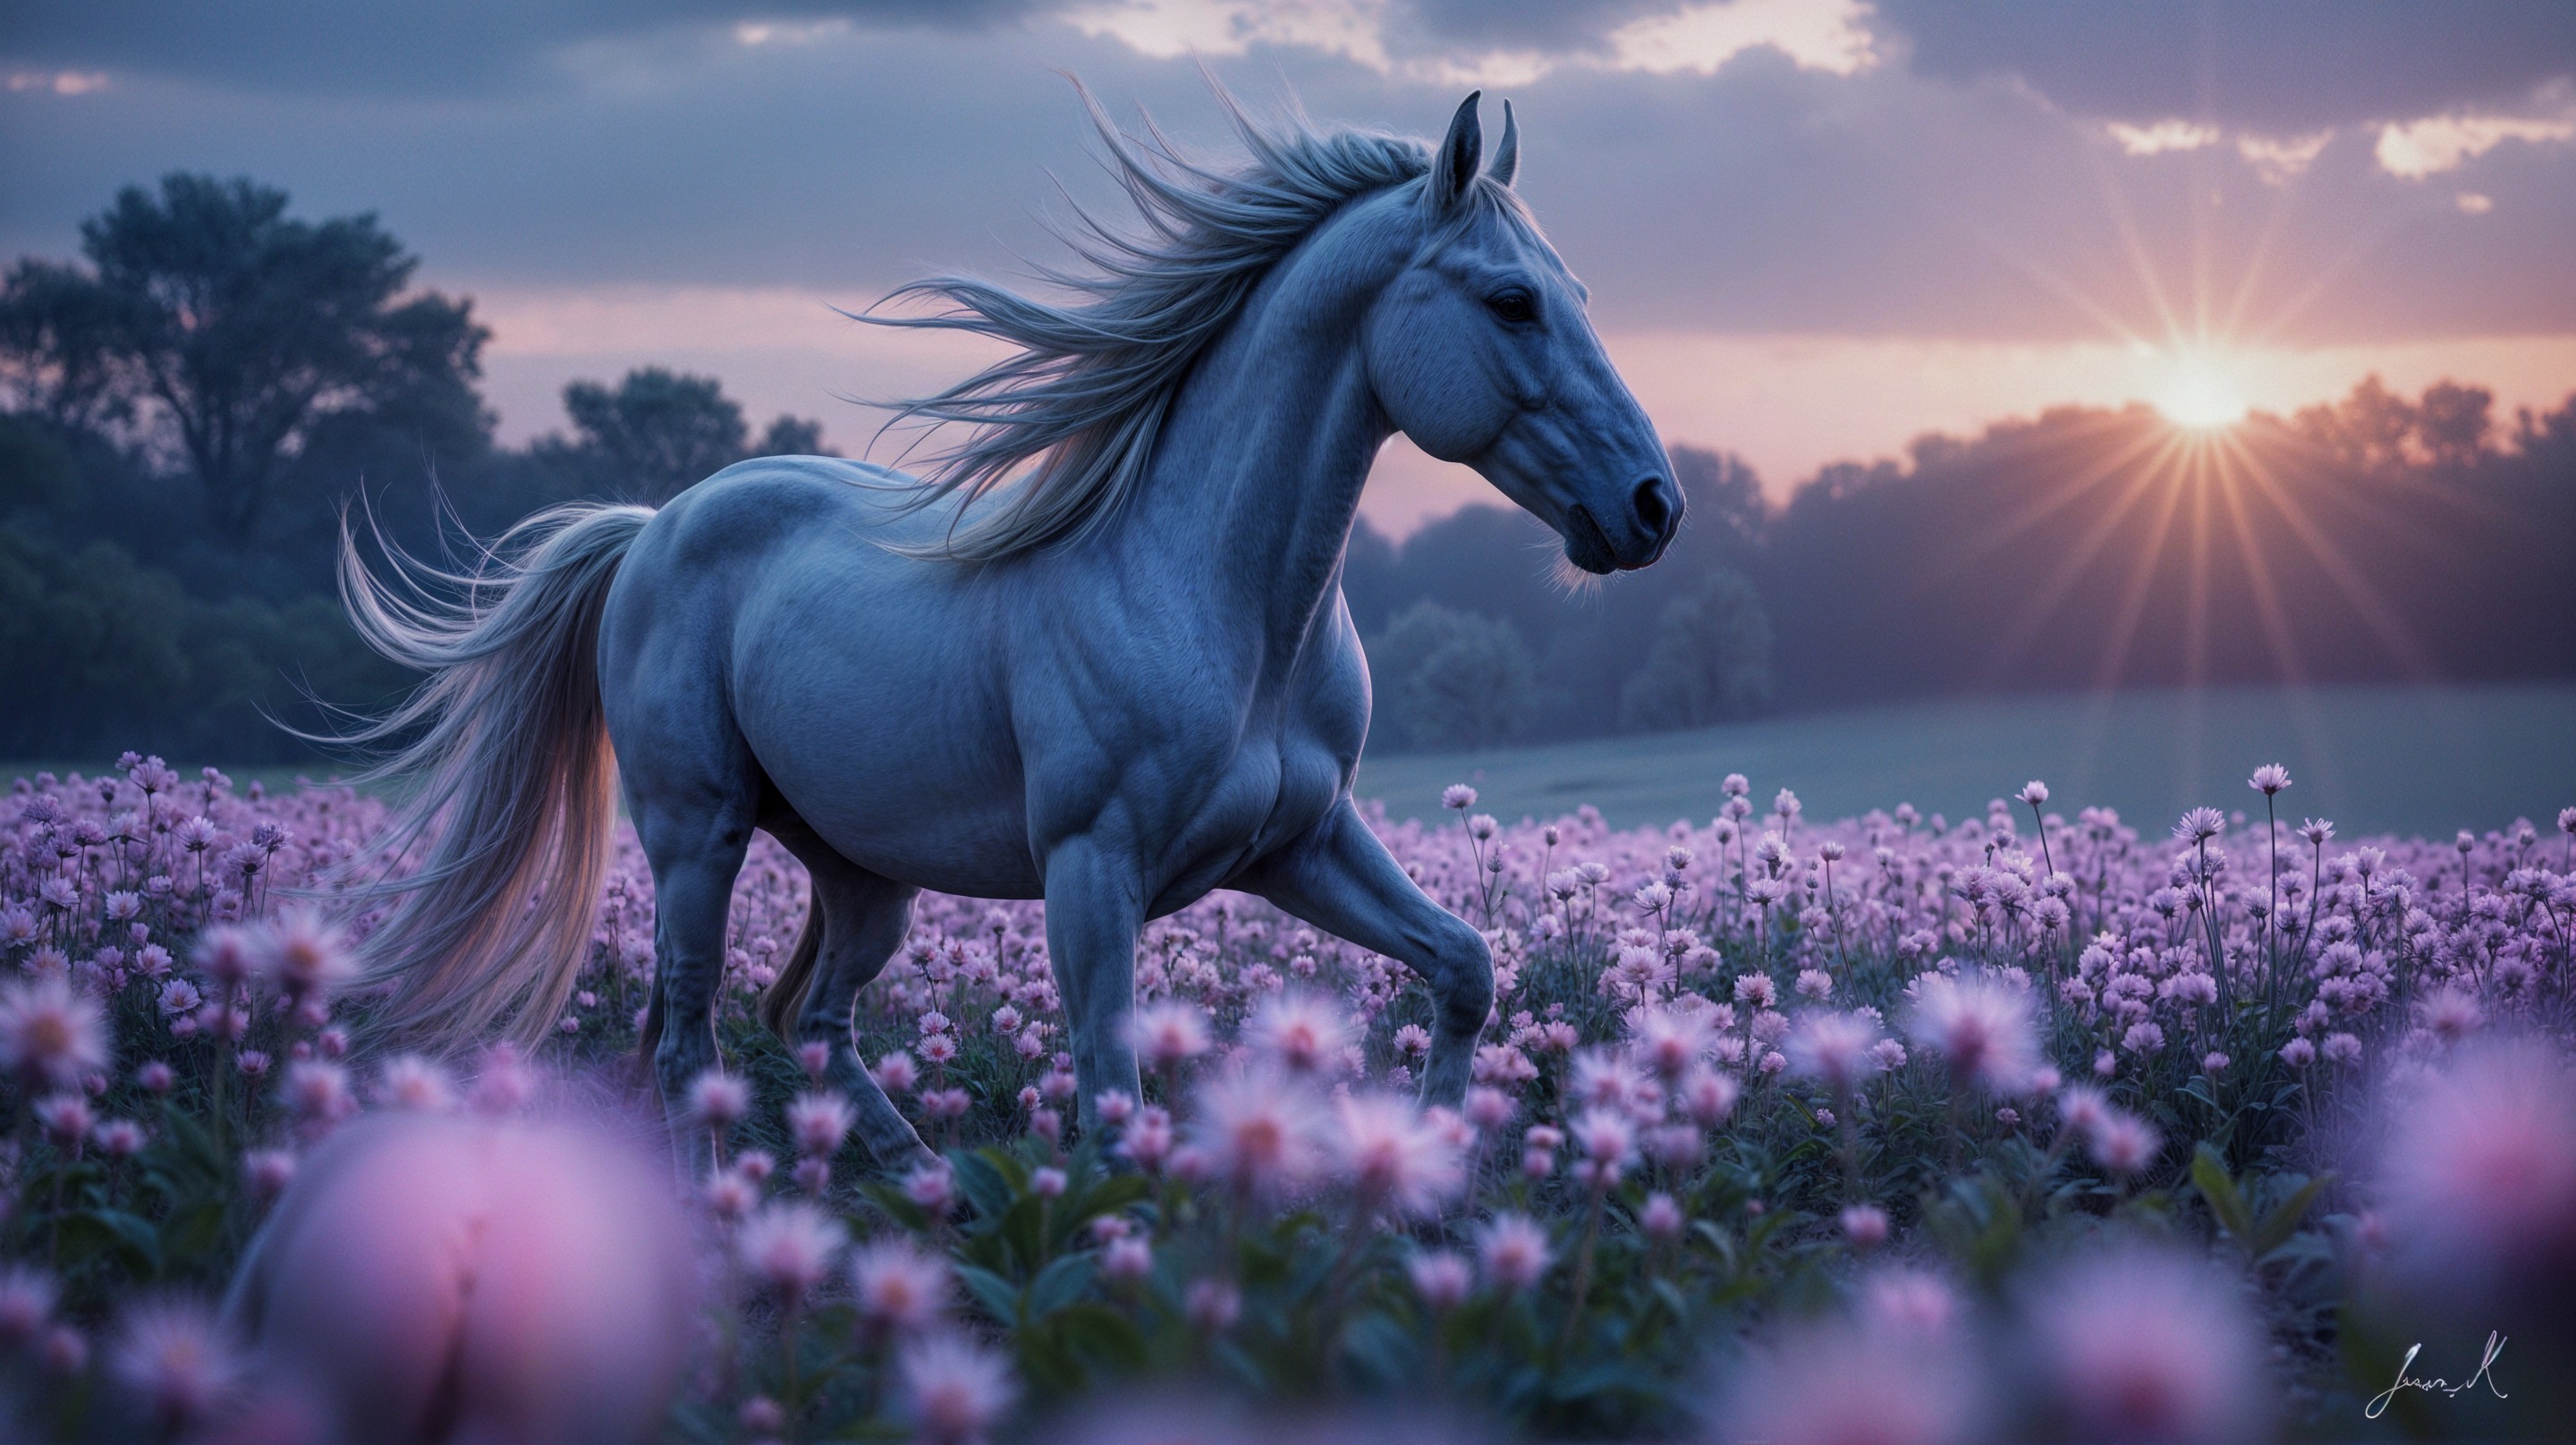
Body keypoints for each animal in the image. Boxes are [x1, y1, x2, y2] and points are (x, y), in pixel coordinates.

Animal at [333, 88, 1679, 1169]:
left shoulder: (1300, 843)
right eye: (1512, 300)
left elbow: (1465, 966)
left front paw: (1436, 1164)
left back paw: (926, 1185)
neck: (1223, 605)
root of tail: (652, 524)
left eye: (1576, 293)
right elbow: (1111, 1089)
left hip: (865, 872)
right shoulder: (1092, 867)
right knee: (687, 1036)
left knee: (809, 1023)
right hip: (695, 836)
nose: (1653, 507)